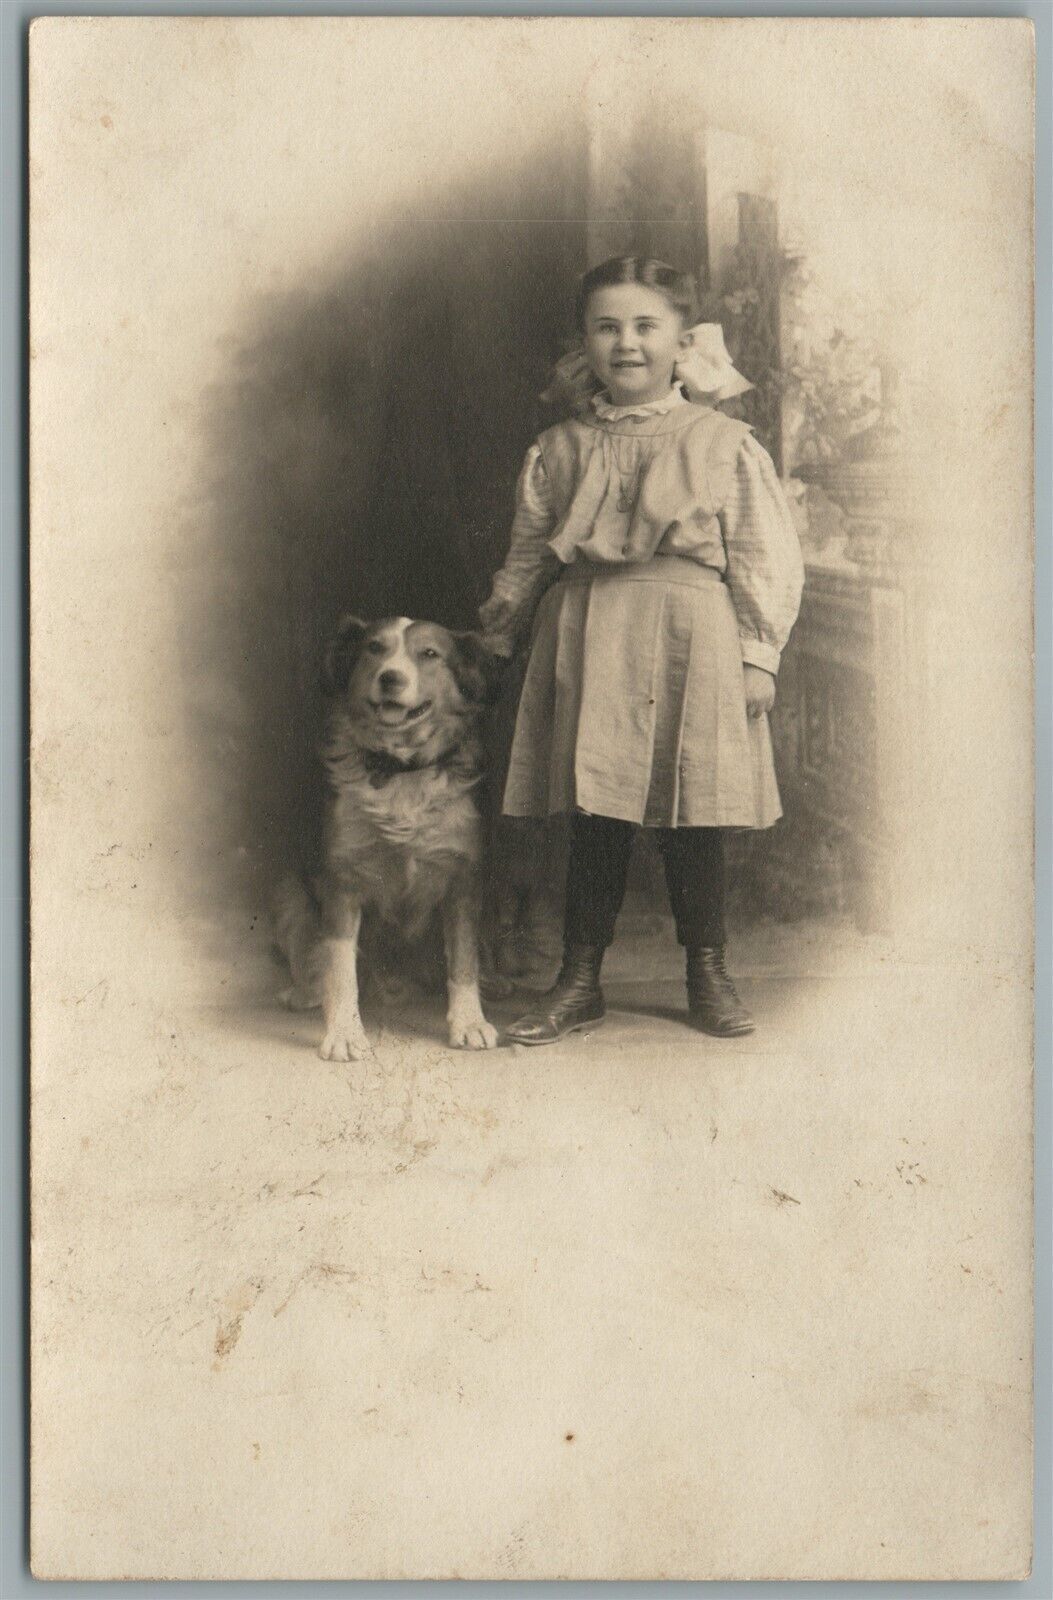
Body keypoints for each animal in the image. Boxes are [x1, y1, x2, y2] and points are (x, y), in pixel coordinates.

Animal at [275, 614, 505, 1062]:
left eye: (429, 653)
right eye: (374, 648)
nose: (390, 678)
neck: (401, 768)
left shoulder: (465, 880)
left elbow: (463, 962)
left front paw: (468, 1023)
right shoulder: (341, 882)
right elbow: (340, 966)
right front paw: (344, 1033)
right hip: (290, 895)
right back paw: (305, 992)